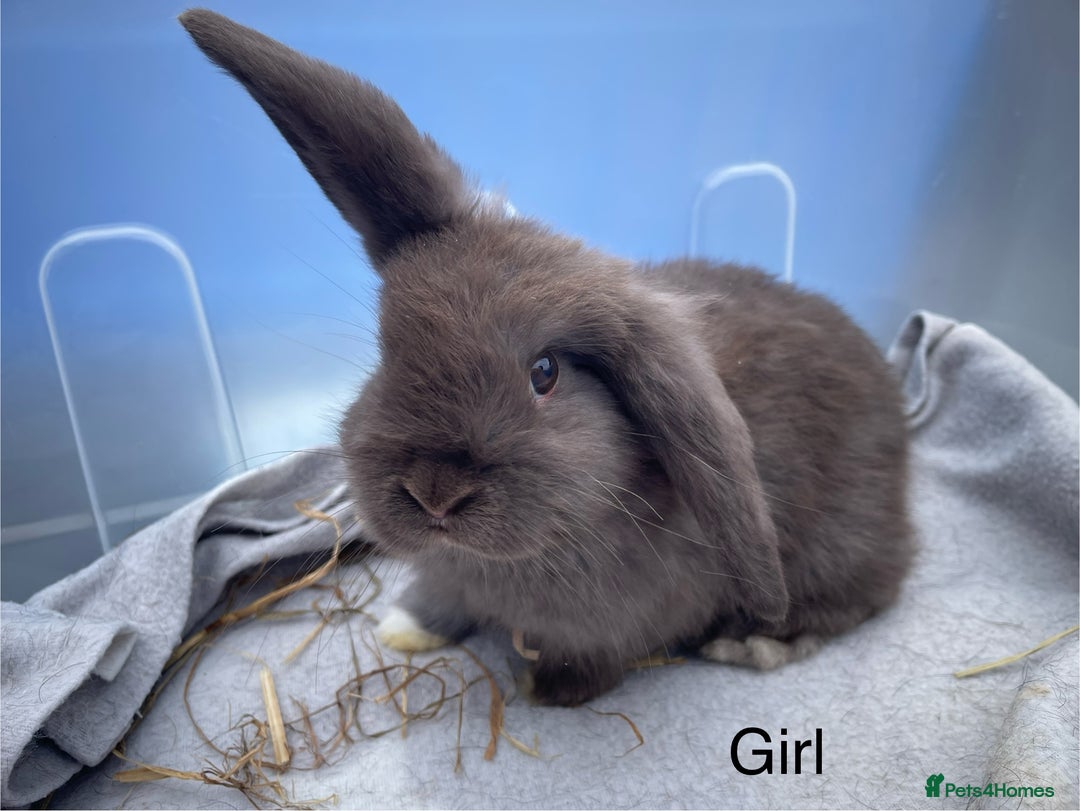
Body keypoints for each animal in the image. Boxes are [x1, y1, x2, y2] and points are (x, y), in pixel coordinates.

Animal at [180, 9, 914, 706]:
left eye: (544, 374)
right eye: (388, 350)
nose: (435, 493)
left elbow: (596, 656)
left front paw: (549, 687)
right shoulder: (447, 573)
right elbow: (440, 598)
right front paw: (405, 627)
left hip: (839, 548)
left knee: (869, 593)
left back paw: (755, 641)